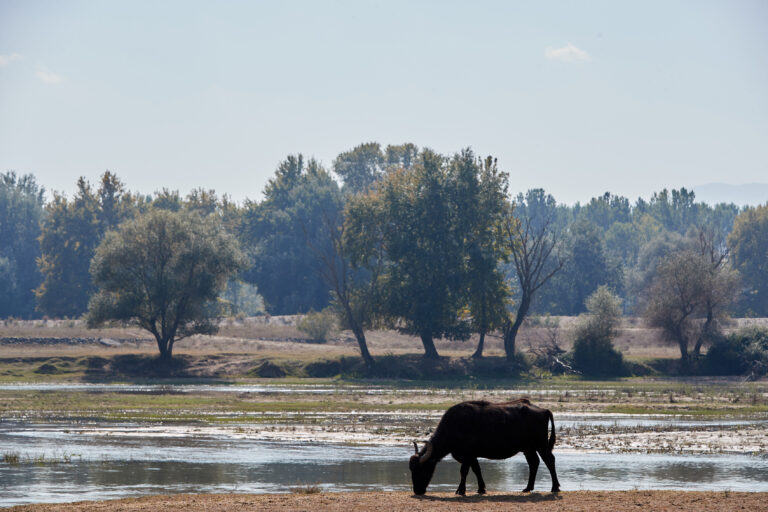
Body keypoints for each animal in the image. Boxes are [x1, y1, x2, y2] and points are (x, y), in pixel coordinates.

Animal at [408, 398, 560, 494]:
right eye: (411, 469)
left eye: (421, 469)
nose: (417, 491)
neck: (453, 426)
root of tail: (544, 410)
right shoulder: (472, 456)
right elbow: (477, 470)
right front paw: (481, 489)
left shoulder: (467, 455)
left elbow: (464, 471)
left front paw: (460, 490)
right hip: (528, 448)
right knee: (534, 463)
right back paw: (528, 488)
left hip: (541, 444)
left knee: (549, 460)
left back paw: (555, 487)